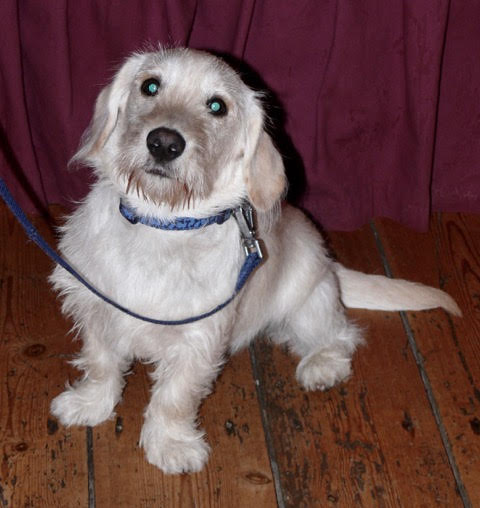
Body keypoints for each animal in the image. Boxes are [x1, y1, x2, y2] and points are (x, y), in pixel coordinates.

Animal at [49, 47, 461, 474]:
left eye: (217, 106)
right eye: (150, 85)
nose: (164, 142)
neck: (161, 225)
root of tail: (330, 264)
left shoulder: (197, 341)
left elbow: (174, 398)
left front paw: (170, 444)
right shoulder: (97, 310)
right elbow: (101, 364)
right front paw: (90, 404)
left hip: (309, 308)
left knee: (341, 336)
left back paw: (321, 367)